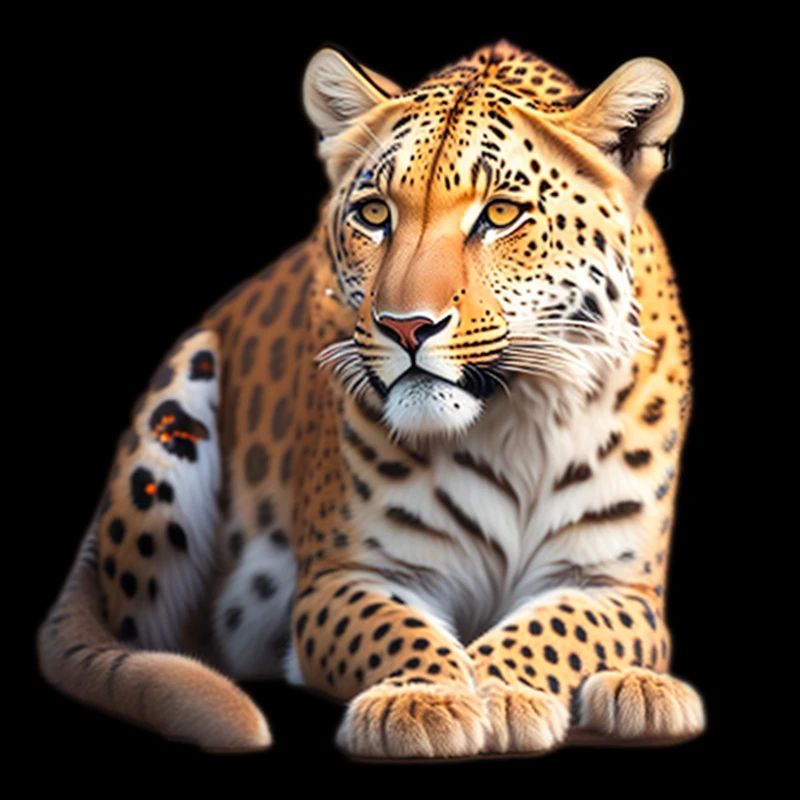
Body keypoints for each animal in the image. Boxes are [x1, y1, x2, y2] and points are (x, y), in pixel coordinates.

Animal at [36, 38, 706, 760]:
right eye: (375, 214)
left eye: (501, 214)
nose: (406, 327)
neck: (516, 419)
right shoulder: (344, 575)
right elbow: (399, 631)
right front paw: (425, 698)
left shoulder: (618, 587)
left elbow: (555, 634)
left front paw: (503, 693)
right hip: (178, 405)